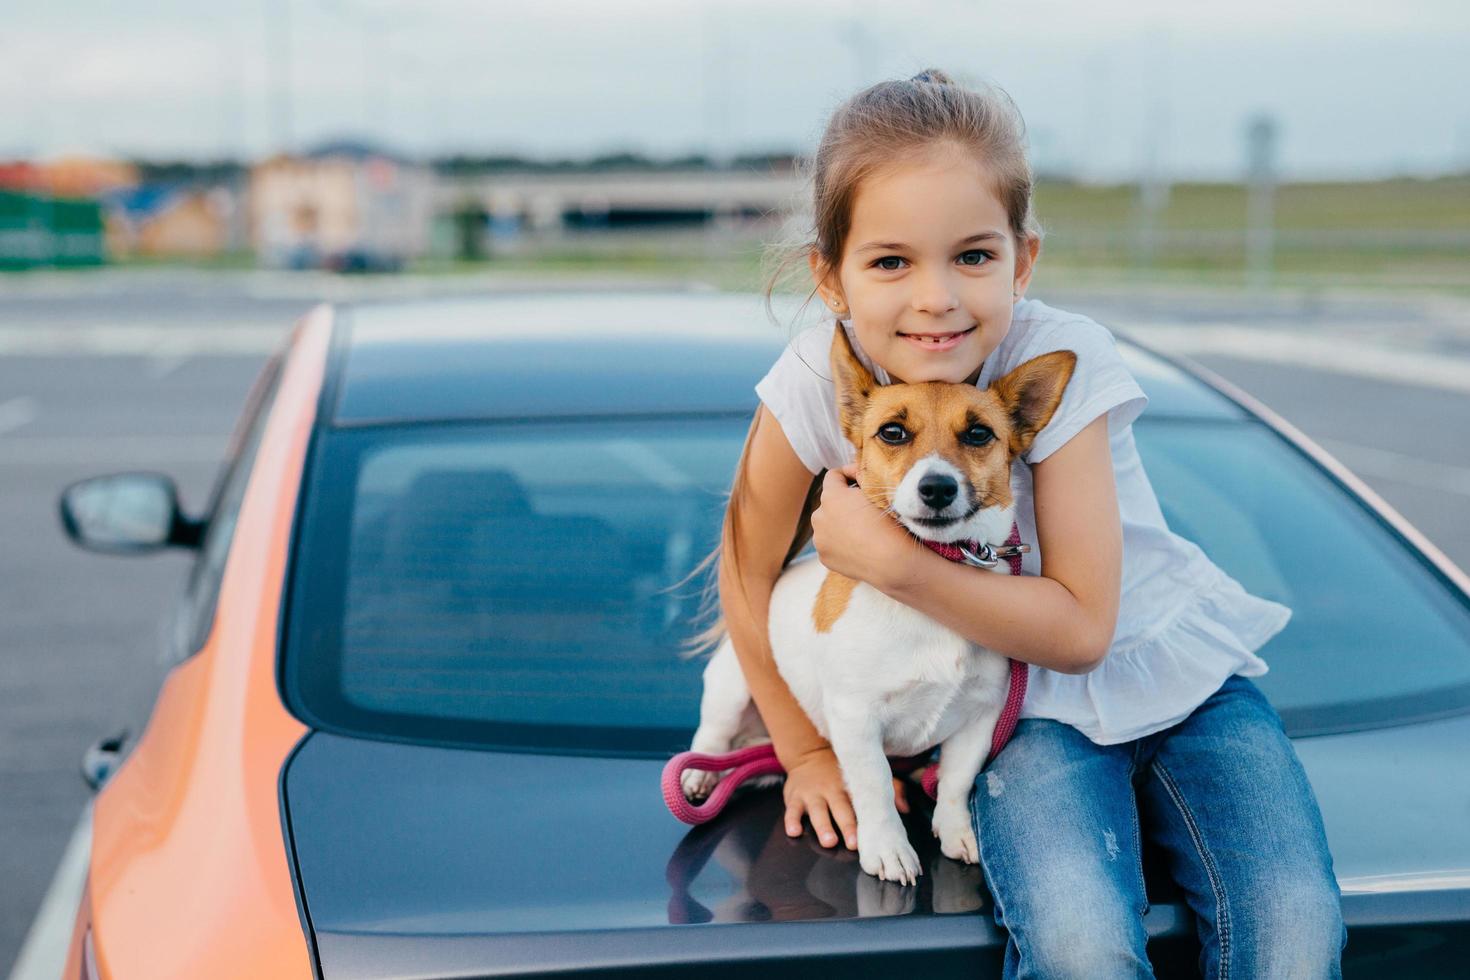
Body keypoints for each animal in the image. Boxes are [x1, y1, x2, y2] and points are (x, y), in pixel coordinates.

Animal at [682, 326, 1076, 887]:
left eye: (979, 435)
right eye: (892, 432)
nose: (937, 487)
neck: (934, 581)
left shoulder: (981, 717)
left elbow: (955, 782)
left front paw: (955, 831)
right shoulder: (855, 717)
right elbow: (871, 790)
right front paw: (888, 848)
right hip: (734, 686)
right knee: (712, 734)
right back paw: (698, 773)